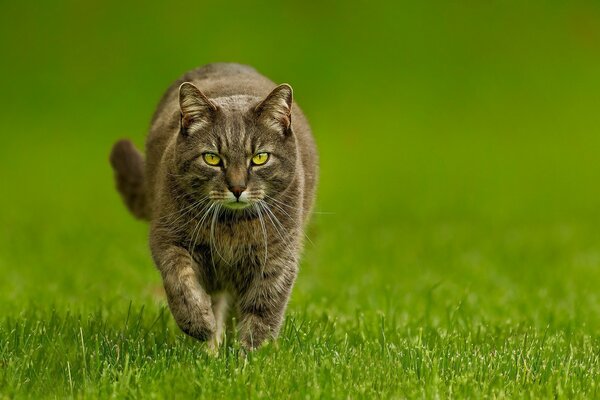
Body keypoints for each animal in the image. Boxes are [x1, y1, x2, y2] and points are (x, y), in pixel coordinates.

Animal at [110, 63, 322, 350]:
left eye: (260, 158)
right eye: (212, 158)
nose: (237, 187)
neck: (231, 225)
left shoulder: (278, 256)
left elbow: (263, 310)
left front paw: (251, 355)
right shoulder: (168, 239)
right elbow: (181, 282)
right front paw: (199, 323)